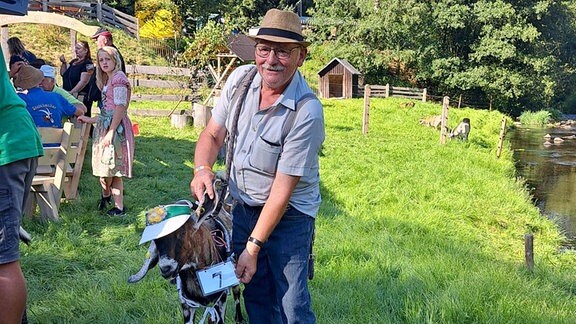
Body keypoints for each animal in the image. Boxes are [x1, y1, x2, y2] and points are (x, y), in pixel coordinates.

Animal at [129, 180, 244, 324]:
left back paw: (239, 318)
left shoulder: (220, 301)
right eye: (156, 240)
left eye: (183, 232)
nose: (166, 268)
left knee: (237, 292)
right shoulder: (186, 306)